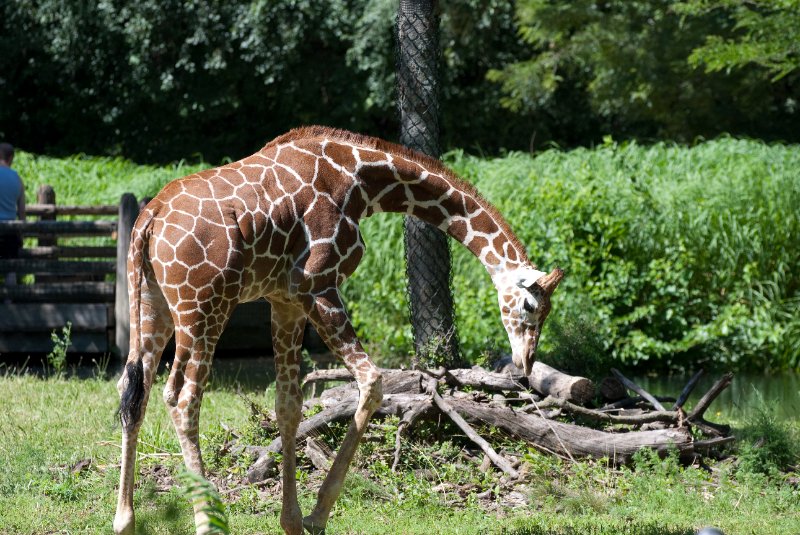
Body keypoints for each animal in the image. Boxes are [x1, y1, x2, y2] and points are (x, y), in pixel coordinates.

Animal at [113, 126, 563, 535]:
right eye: (529, 307)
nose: (525, 363)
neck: (360, 182)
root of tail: (148, 220)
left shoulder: (286, 299)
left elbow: (289, 405)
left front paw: (292, 520)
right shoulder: (319, 286)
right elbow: (372, 381)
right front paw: (317, 515)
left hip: (153, 305)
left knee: (133, 391)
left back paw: (125, 520)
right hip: (204, 306)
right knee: (182, 397)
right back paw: (208, 522)